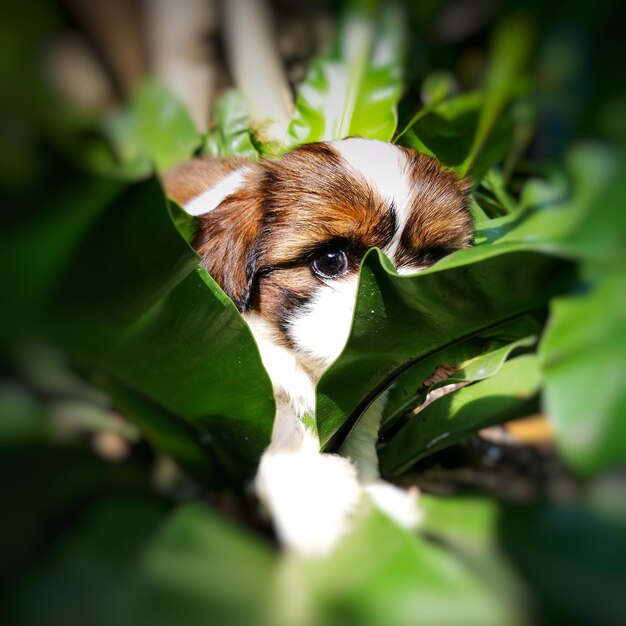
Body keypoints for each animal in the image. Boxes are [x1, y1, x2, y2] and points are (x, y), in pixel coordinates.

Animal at [163, 138, 470, 552]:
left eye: (431, 262)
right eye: (329, 260)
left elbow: (360, 432)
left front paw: (372, 492)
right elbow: (275, 415)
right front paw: (313, 498)